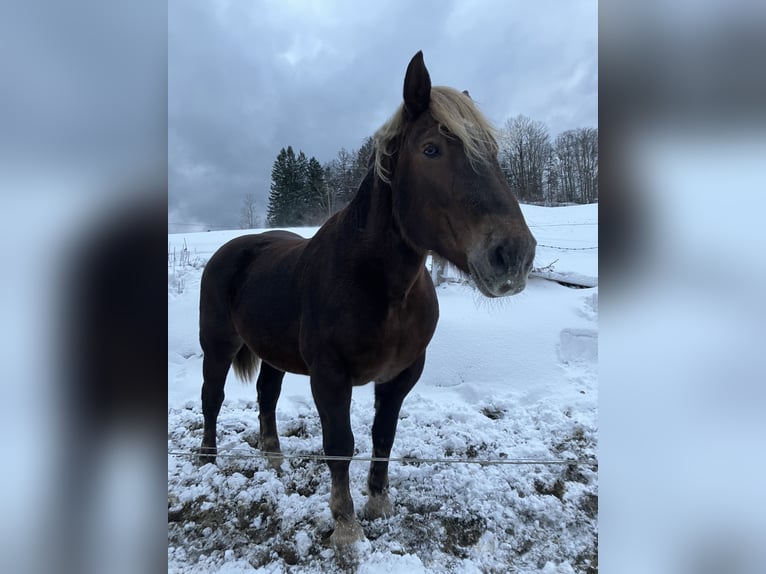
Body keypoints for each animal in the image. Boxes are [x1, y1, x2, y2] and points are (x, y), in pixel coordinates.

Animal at [198, 51, 536, 548]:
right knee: (212, 397)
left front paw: (378, 503)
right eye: (431, 149)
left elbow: (383, 434)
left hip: (273, 351)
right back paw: (207, 458)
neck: (380, 287)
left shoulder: (401, 375)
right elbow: (340, 445)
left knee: (266, 395)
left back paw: (274, 458)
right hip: (218, 345)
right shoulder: (329, 376)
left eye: (492, 152)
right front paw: (345, 524)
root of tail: (233, 249)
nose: (513, 255)